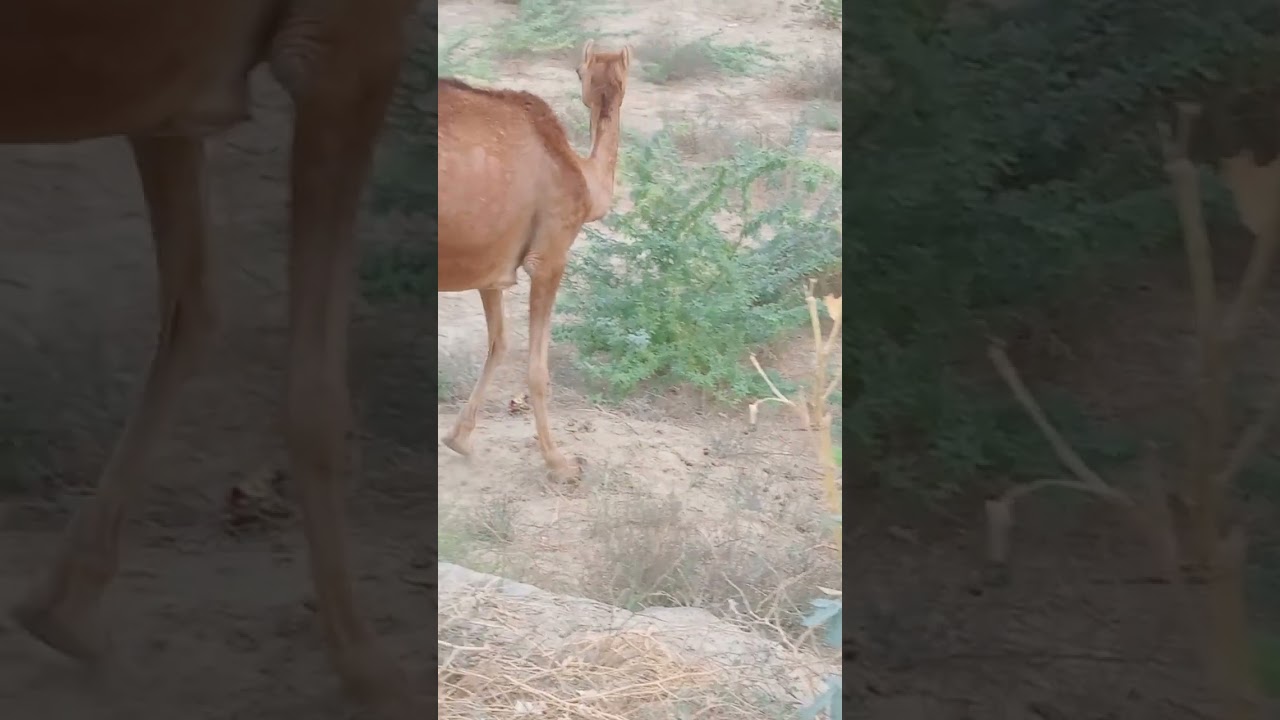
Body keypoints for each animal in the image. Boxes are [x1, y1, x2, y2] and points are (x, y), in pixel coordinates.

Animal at [0, 0, 416, 714]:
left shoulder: (162, 91)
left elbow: (193, 310)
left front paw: (65, 611)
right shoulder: (348, 47)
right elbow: (315, 396)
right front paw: (369, 667)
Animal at [438, 40, 632, 480]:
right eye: (578, 71)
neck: (583, 178)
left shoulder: (490, 266)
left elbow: (499, 342)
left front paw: (458, 440)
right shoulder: (551, 256)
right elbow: (537, 370)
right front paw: (560, 463)